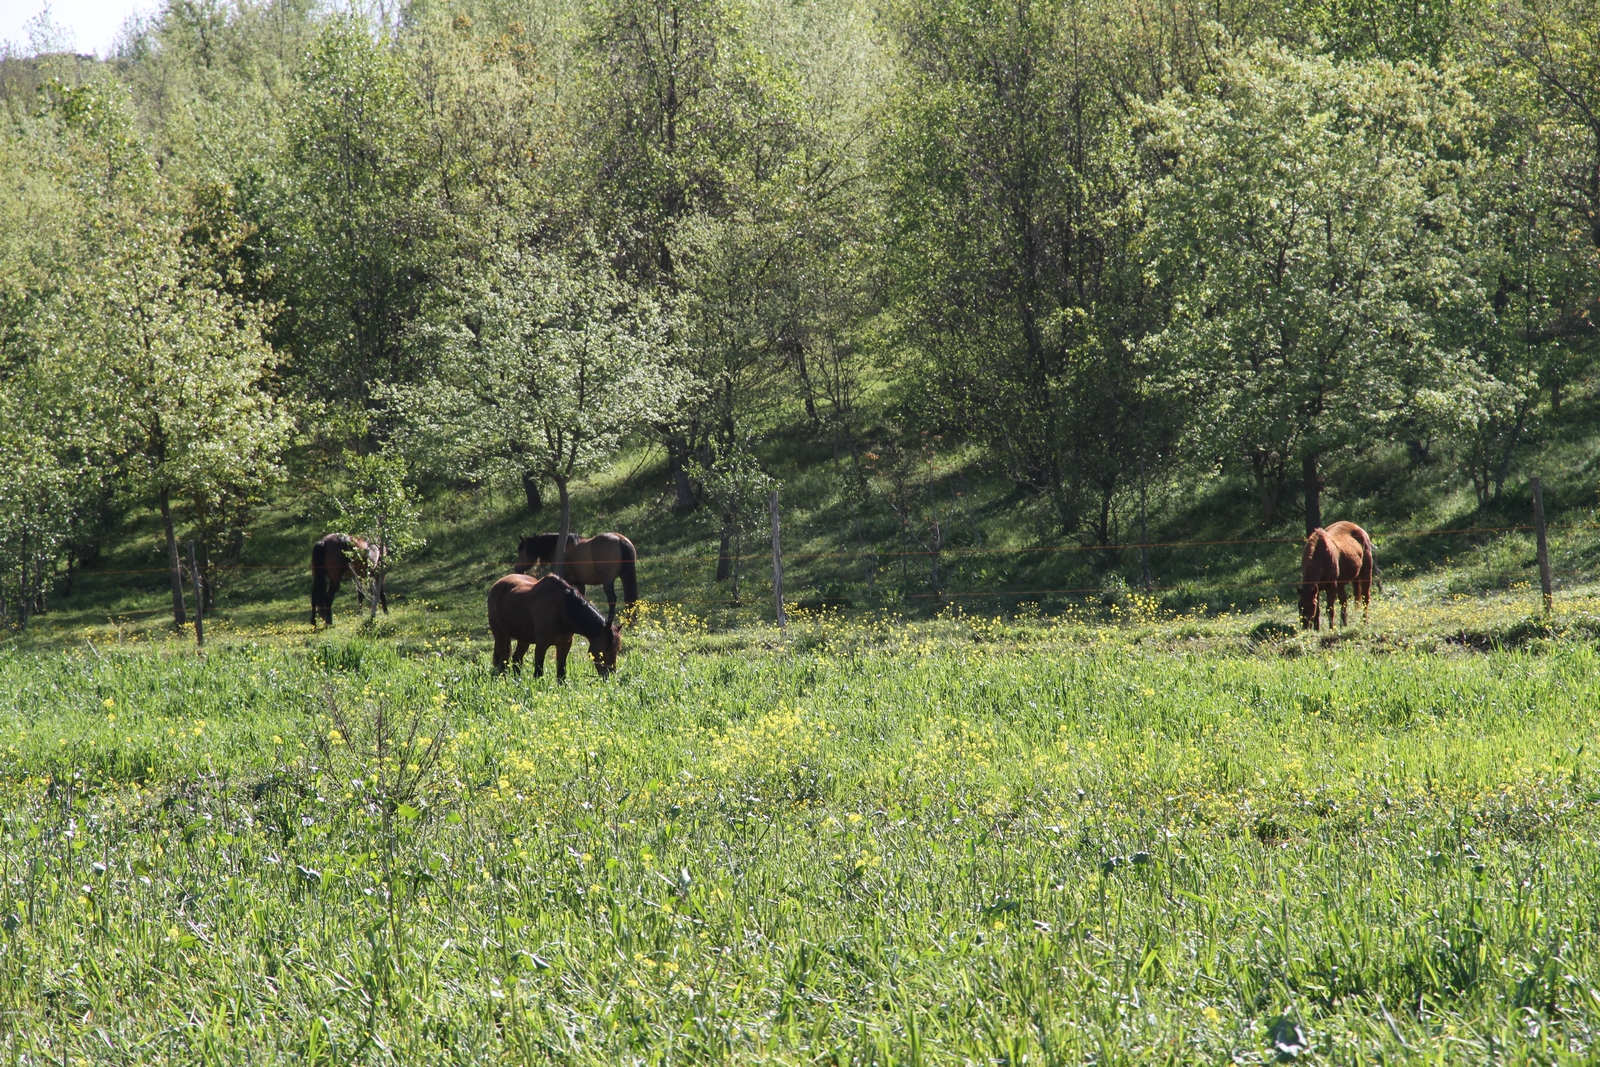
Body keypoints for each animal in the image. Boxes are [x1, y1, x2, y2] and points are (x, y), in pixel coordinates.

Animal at [487, 573, 621, 680]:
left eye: (617, 649)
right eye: (606, 647)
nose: (610, 675)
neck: (562, 609)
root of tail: (497, 585)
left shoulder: (564, 644)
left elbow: (561, 672)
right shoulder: (541, 645)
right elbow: (538, 672)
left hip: (523, 639)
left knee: (516, 659)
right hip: (500, 636)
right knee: (503, 662)